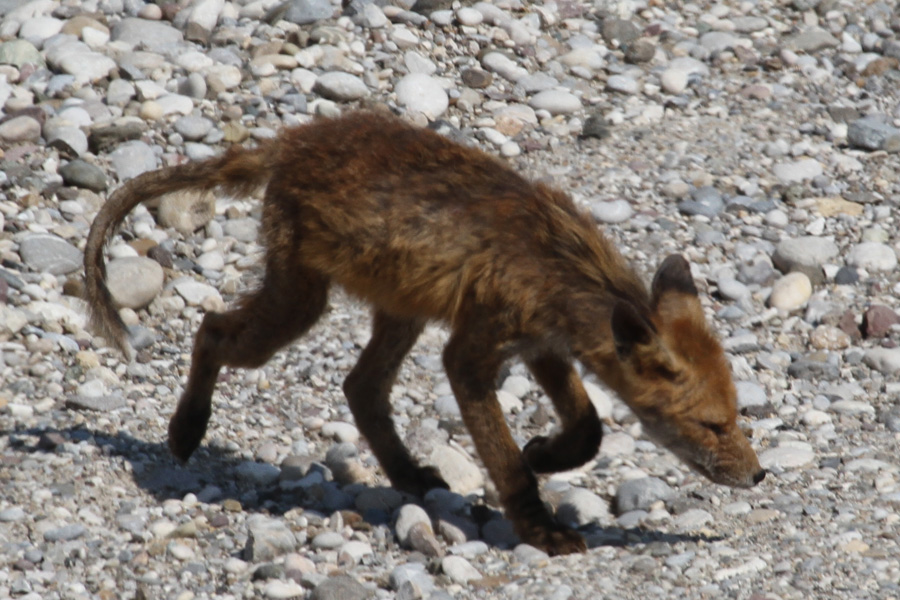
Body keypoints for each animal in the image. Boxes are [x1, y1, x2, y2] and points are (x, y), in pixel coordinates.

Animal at [84, 110, 764, 556]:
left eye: (737, 416)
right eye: (712, 425)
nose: (757, 477)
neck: (556, 264)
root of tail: (292, 139)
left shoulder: (542, 347)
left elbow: (589, 427)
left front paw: (547, 453)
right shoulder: (472, 354)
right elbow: (508, 463)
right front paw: (538, 526)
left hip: (398, 311)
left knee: (360, 388)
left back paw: (408, 475)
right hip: (299, 308)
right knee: (212, 331)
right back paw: (186, 429)